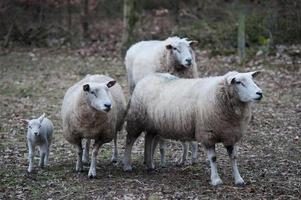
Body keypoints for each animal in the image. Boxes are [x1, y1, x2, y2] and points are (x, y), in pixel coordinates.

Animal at [123, 70, 262, 186]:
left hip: (153, 125)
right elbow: (213, 158)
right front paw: (216, 180)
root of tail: (147, 77)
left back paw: (150, 165)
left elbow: (233, 157)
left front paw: (239, 179)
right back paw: (127, 165)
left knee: (148, 139)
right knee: (129, 141)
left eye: (252, 79)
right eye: (239, 82)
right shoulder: (207, 134)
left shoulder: (229, 134)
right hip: (136, 120)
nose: (260, 93)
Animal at [125, 36, 199, 166]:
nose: (189, 60)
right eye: (175, 48)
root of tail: (138, 43)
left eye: (189, 47)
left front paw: (188, 158)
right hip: (134, 88)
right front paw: (160, 157)